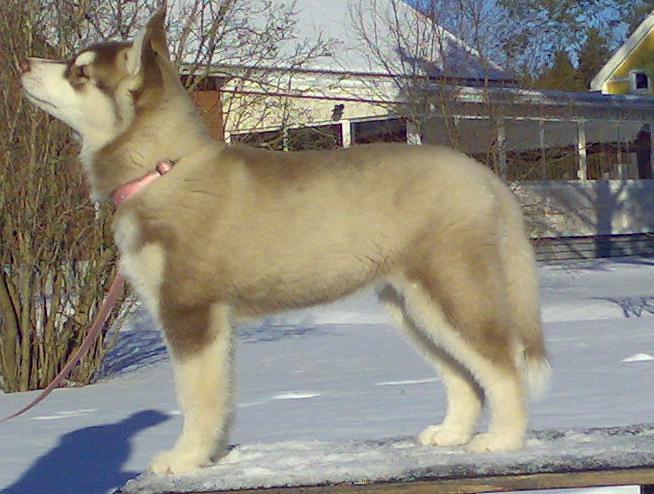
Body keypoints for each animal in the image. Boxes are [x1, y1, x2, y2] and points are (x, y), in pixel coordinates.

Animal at [20, 9, 549, 475]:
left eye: (80, 72)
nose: (23, 63)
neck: (161, 168)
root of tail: (483, 175)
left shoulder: (189, 308)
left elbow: (195, 396)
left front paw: (184, 458)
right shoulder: (216, 320)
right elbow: (220, 392)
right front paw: (212, 455)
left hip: (452, 289)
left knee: (502, 364)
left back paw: (503, 439)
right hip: (411, 304)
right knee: (464, 374)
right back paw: (452, 433)